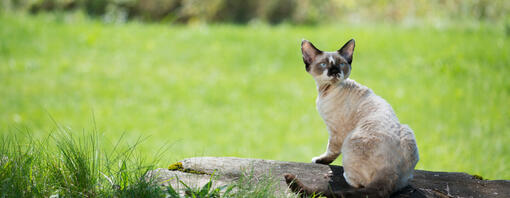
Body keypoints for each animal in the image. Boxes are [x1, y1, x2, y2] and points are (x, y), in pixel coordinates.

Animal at [282, 39, 418, 198]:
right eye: (323, 65)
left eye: (341, 64)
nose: (335, 72)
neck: (325, 90)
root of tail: (391, 169)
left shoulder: (335, 132)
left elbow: (330, 151)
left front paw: (319, 161)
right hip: (408, 131)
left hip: (350, 140)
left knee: (358, 183)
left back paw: (343, 175)